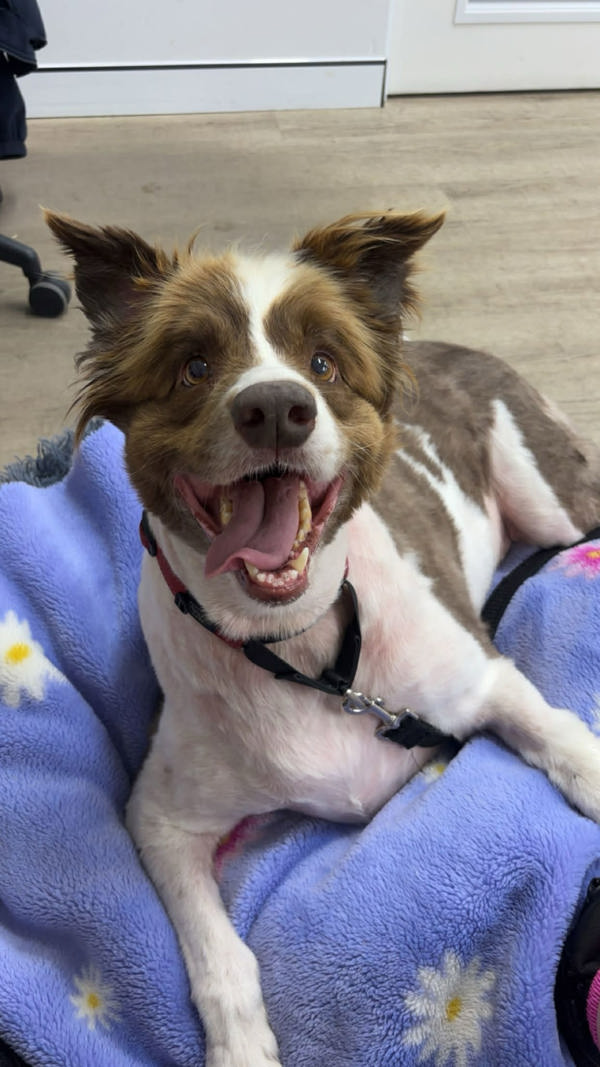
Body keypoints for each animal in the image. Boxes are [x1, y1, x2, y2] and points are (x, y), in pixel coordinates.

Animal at [47, 208, 600, 1067]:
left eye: (323, 362)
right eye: (193, 365)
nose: (277, 407)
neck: (299, 647)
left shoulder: (482, 678)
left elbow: (563, 735)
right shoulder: (161, 818)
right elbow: (216, 949)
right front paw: (241, 1045)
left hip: (549, 496)